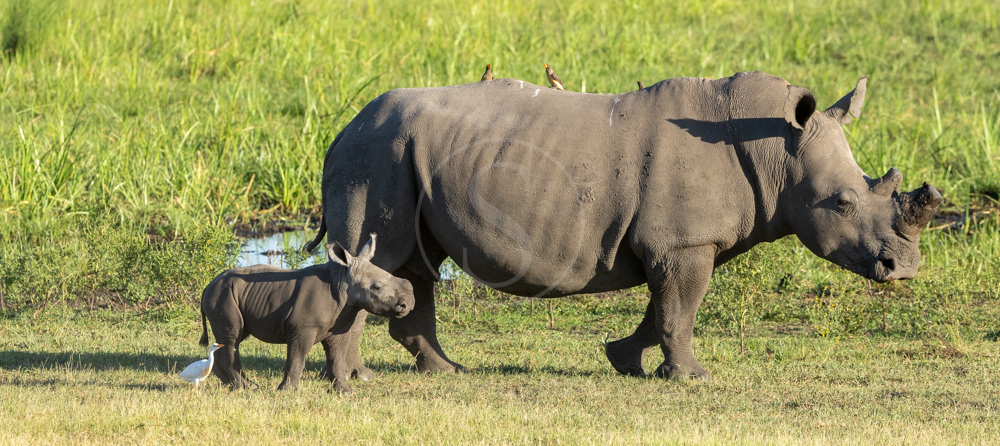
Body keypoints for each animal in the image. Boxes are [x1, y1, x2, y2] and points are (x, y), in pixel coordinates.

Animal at [197, 235, 412, 392]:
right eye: (376, 288)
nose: (407, 305)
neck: (342, 282)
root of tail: (208, 285)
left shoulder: (339, 328)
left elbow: (337, 358)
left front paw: (344, 391)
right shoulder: (302, 328)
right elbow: (297, 358)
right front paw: (287, 391)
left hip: (229, 294)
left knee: (232, 339)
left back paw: (239, 386)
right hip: (222, 296)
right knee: (232, 337)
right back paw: (244, 388)